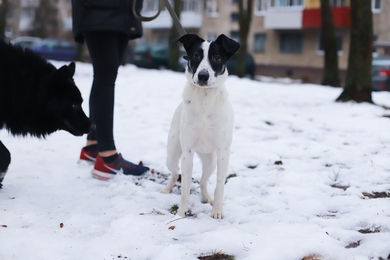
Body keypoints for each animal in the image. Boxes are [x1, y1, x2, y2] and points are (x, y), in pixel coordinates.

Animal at [161, 33, 241, 218]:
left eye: (216, 58)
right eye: (196, 55)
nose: (203, 76)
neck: (205, 99)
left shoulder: (223, 154)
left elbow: (220, 186)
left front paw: (217, 211)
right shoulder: (187, 153)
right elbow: (185, 190)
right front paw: (181, 214)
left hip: (211, 161)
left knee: (203, 182)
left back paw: (208, 198)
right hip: (173, 154)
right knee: (175, 173)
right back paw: (167, 189)